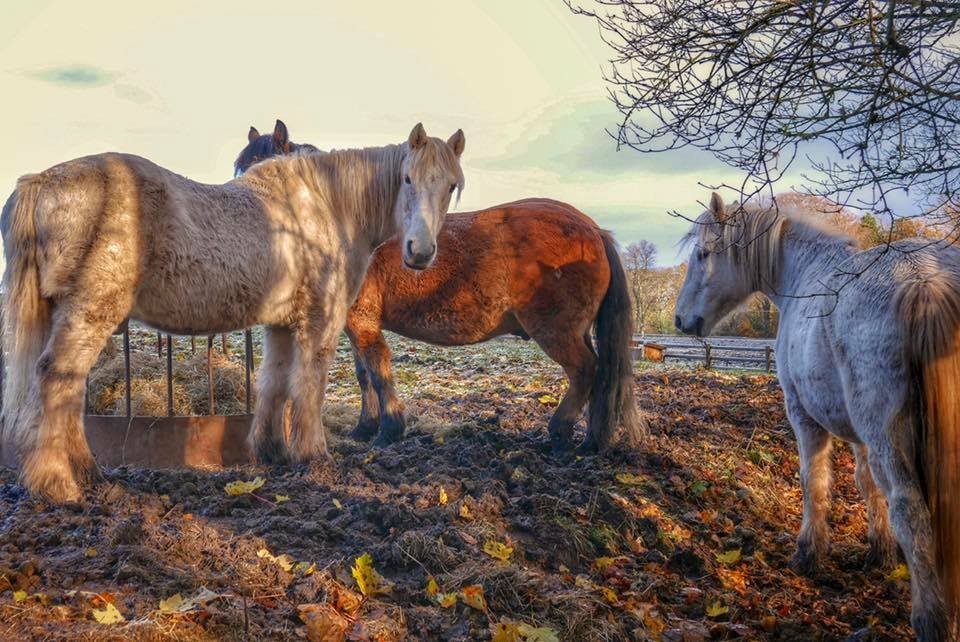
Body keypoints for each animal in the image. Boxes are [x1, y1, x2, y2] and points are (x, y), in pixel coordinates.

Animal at [1, 123, 466, 503]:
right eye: (407, 179)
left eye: (450, 187)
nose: (420, 252)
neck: (322, 207)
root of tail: (40, 182)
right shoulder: (320, 321)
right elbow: (309, 385)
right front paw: (314, 456)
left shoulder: (280, 325)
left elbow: (275, 383)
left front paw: (273, 452)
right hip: (89, 314)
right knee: (58, 380)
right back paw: (59, 484)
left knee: (67, 391)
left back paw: (88, 473)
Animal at [235, 125, 644, 453]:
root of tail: (592, 229)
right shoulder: (354, 325)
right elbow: (364, 375)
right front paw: (366, 428)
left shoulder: (363, 323)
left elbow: (378, 372)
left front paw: (389, 430)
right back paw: (592, 439)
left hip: (557, 331)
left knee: (586, 371)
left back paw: (560, 434)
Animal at [674, 192, 959, 641]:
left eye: (703, 254)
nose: (681, 319)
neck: (804, 276)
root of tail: (924, 279)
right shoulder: (859, 437)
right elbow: (865, 484)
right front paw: (880, 552)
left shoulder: (803, 416)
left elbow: (814, 481)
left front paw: (808, 552)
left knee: (911, 515)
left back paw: (931, 621)